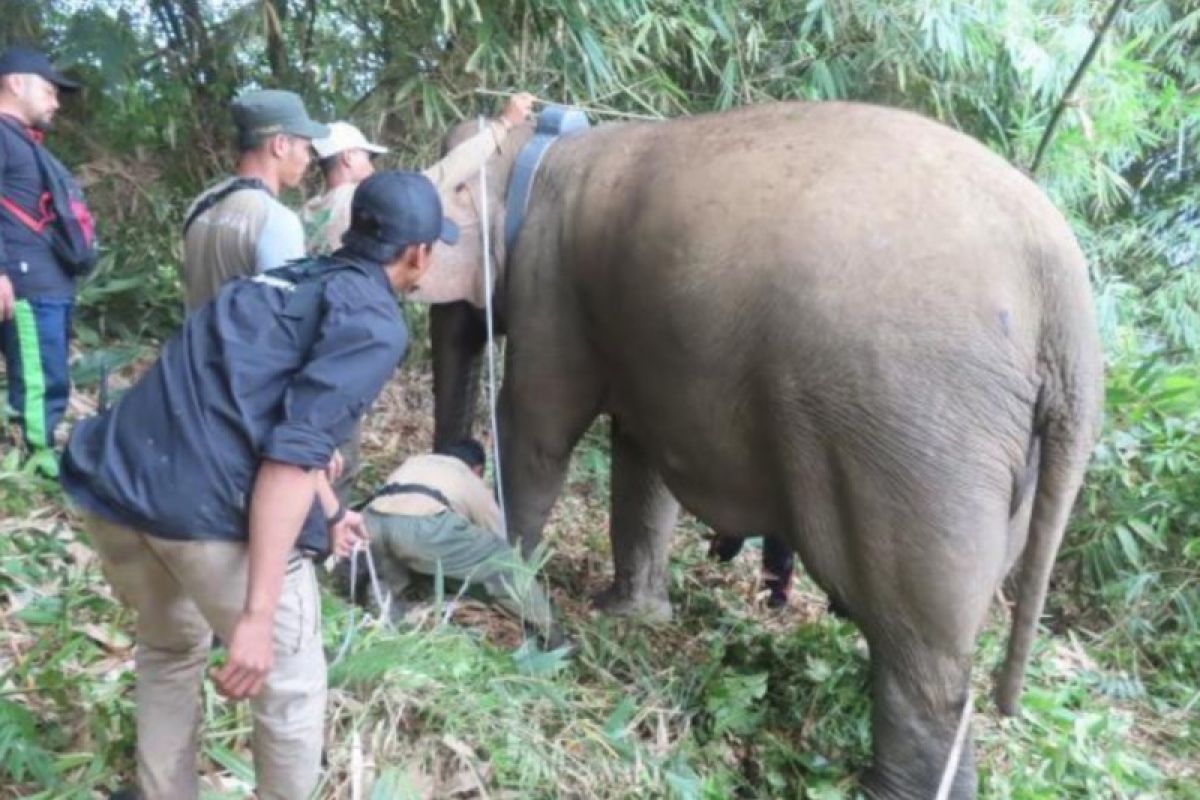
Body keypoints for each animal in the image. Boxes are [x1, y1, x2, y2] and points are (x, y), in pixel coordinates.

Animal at [420, 101, 1099, 800]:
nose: (456, 455)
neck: (548, 144)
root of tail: (1067, 311)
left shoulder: (552, 288)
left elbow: (537, 431)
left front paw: (501, 583)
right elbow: (641, 462)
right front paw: (628, 617)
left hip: (922, 441)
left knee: (921, 650)